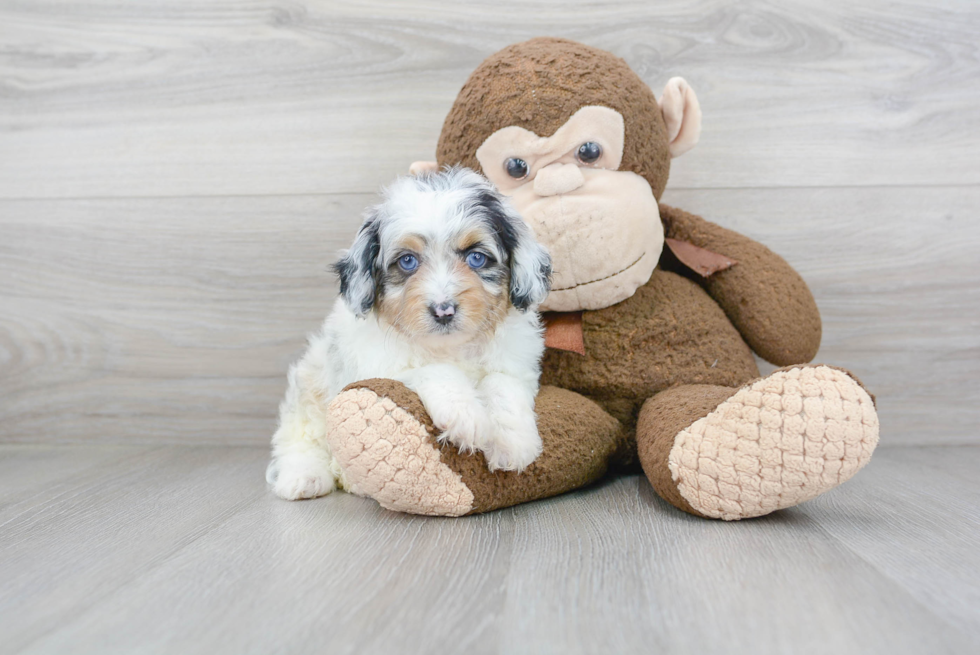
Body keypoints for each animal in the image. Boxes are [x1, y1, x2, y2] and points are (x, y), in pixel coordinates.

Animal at [266, 168, 552, 502]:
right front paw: (466, 415)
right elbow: (433, 370)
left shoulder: (517, 365)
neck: (450, 347)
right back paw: (304, 477)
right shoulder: (377, 368)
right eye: (407, 261)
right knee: (299, 438)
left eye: (476, 258)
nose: (443, 310)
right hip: (309, 390)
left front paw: (513, 442)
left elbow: (502, 383)